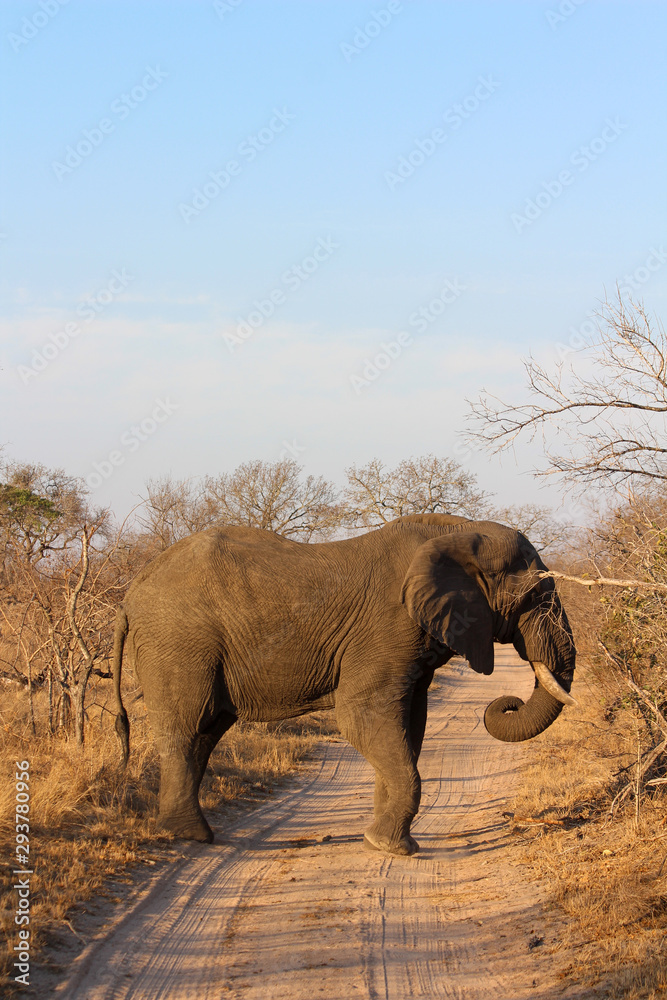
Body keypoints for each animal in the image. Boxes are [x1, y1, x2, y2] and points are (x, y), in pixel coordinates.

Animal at [112, 513, 576, 856]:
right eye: (534, 596)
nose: (507, 701)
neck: (460, 532)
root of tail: (130, 591)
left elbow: (410, 724)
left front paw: (381, 841)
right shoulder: (386, 628)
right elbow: (361, 715)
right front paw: (393, 849)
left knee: (205, 733)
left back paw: (191, 835)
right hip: (178, 642)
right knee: (187, 727)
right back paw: (189, 837)